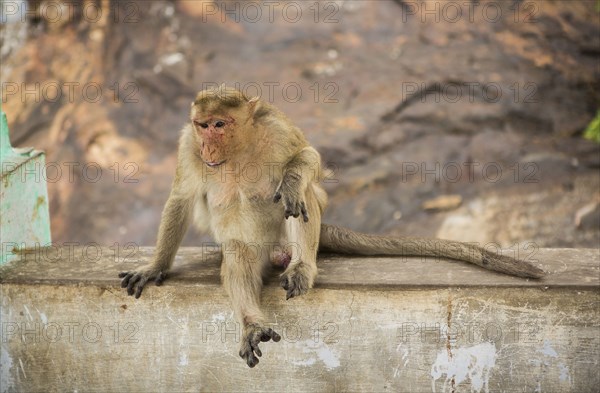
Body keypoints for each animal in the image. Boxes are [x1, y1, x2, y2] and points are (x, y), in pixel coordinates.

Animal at [119, 86, 548, 368]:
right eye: (201, 124)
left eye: (219, 123)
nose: (208, 145)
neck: (238, 146)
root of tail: (279, 253)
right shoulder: (186, 145)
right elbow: (181, 198)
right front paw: (155, 266)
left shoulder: (276, 127)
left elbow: (307, 159)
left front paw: (293, 179)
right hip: (257, 247)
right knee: (239, 256)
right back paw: (253, 323)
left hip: (291, 241)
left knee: (304, 200)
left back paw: (302, 266)